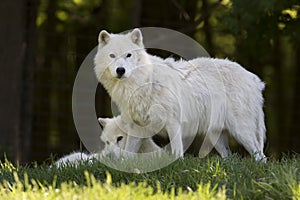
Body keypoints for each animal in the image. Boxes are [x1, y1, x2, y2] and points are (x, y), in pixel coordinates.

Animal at [94, 28, 268, 161]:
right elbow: (129, 154)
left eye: (128, 55)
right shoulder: (137, 128)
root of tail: (254, 79)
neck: (144, 82)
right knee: (229, 156)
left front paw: (178, 163)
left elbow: (177, 152)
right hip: (216, 137)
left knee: (261, 156)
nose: (120, 70)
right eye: (112, 56)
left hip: (242, 132)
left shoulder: (173, 122)